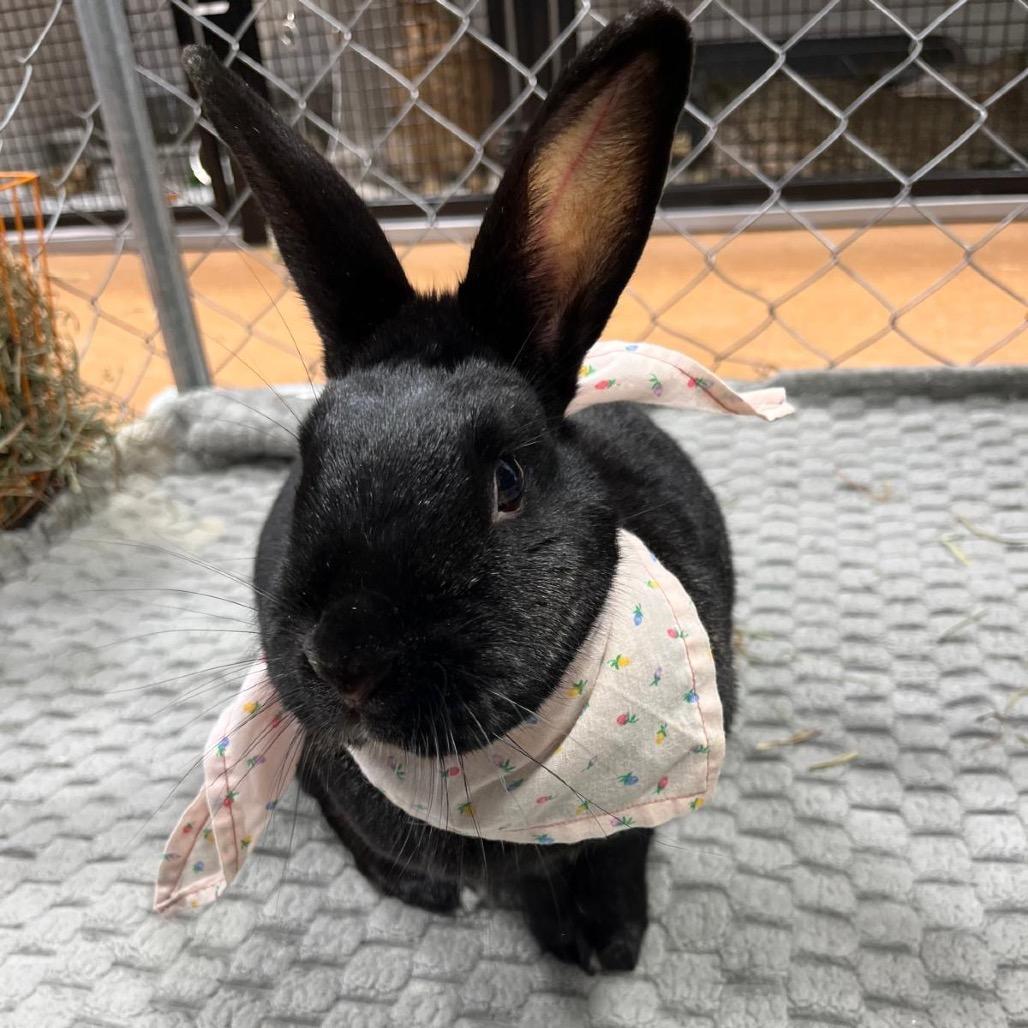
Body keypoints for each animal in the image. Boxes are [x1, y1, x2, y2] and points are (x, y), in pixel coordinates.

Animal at [183, 0, 734, 972]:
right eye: (309, 458)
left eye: (507, 481)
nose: (345, 661)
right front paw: (465, 900)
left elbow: (621, 849)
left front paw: (611, 943)